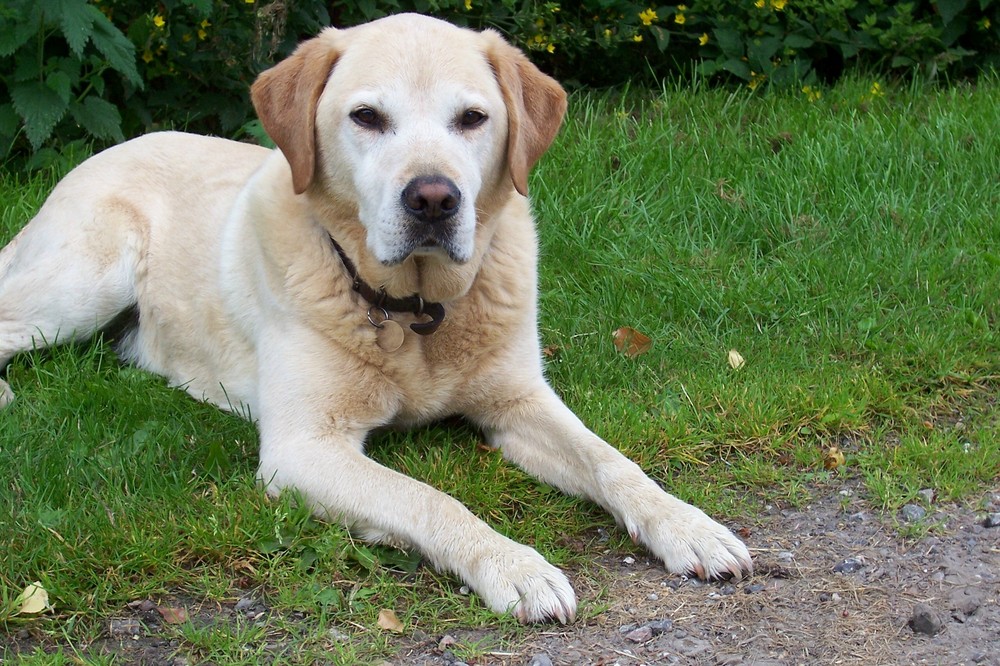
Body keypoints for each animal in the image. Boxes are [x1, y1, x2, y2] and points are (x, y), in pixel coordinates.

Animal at [0, 13, 752, 620]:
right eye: (366, 117)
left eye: (472, 118)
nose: (434, 199)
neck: (415, 308)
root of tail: (105, 149)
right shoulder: (304, 449)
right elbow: (429, 499)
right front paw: (515, 567)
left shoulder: (519, 400)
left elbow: (612, 462)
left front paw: (688, 525)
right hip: (87, 277)